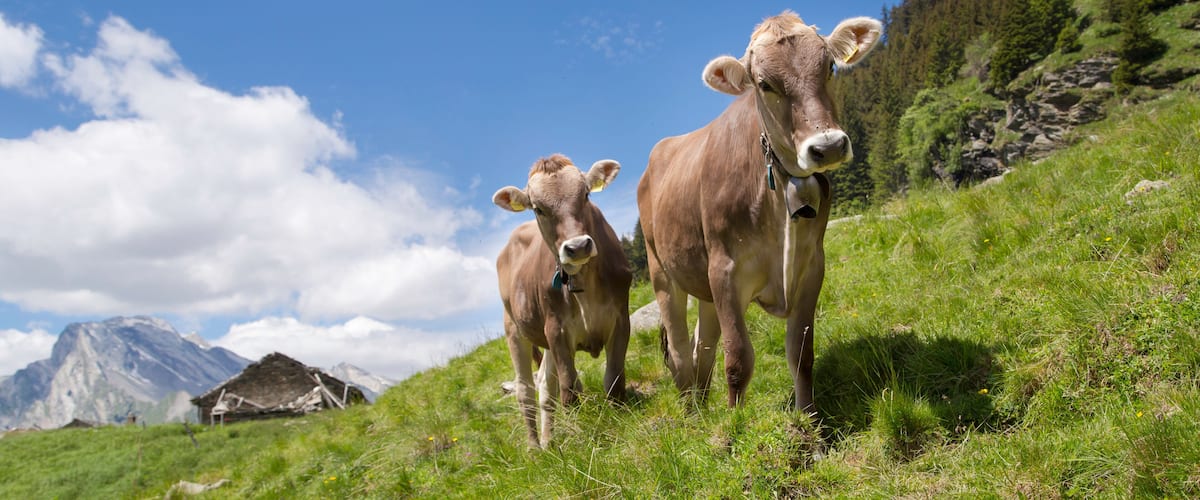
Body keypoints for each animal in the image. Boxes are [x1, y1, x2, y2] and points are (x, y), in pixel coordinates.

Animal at [494, 154, 632, 447]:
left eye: (586, 194)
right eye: (538, 209)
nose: (577, 247)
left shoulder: (620, 319)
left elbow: (614, 379)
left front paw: (621, 420)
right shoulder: (556, 329)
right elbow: (569, 389)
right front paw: (580, 434)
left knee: (546, 389)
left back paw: (548, 443)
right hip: (514, 329)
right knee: (525, 391)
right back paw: (534, 447)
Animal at [637, 12, 881, 413]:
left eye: (829, 66)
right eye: (765, 84)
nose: (827, 146)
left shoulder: (812, 266)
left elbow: (801, 353)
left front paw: (808, 418)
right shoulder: (724, 271)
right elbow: (738, 359)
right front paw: (734, 424)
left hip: (702, 282)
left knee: (703, 346)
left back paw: (703, 407)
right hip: (662, 272)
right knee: (680, 348)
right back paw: (690, 412)